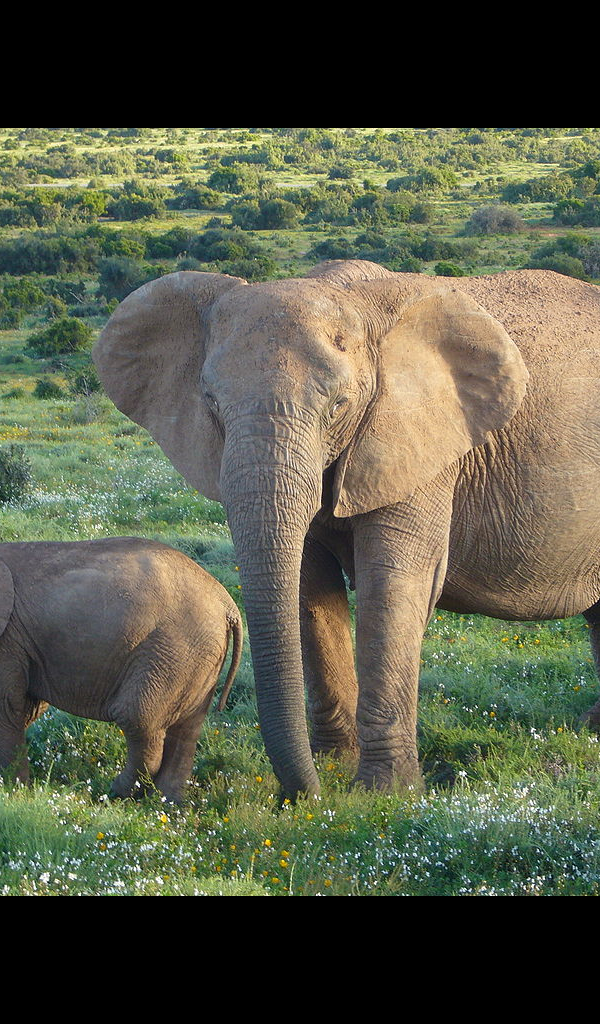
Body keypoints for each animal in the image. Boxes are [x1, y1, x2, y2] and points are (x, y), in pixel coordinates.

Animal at [0, 537, 242, 801]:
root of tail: (227, 604)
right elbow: (24, 710)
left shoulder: (8, 640)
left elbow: (9, 707)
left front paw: (13, 790)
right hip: (199, 656)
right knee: (187, 729)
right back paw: (167, 801)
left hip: (174, 650)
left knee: (138, 719)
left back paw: (116, 792)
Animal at [92, 259, 600, 800]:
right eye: (210, 402)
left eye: (338, 405)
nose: (303, 796)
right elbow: (309, 587)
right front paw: (334, 766)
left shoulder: (417, 441)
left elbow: (392, 585)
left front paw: (385, 793)